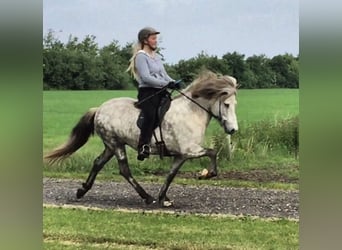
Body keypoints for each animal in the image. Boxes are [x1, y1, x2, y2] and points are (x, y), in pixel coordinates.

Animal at [44, 71, 238, 207]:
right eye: (227, 104)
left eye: (234, 104)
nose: (233, 130)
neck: (190, 112)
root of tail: (99, 109)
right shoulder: (189, 150)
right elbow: (213, 152)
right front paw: (207, 174)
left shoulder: (181, 155)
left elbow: (171, 175)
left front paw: (164, 198)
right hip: (115, 144)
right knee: (124, 170)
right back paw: (146, 197)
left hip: (111, 145)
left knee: (98, 163)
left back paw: (82, 190)